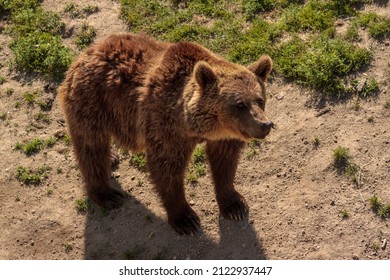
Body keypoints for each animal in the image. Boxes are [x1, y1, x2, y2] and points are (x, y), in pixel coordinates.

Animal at [59, 32, 274, 234]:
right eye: (240, 104)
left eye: (260, 99)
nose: (265, 124)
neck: (193, 125)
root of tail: (85, 53)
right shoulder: (165, 128)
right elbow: (167, 169)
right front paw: (186, 220)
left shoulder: (224, 137)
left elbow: (225, 162)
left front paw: (234, 206)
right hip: (93, 103)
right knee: (91, 147)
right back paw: (107, 194)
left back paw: (111, 158)